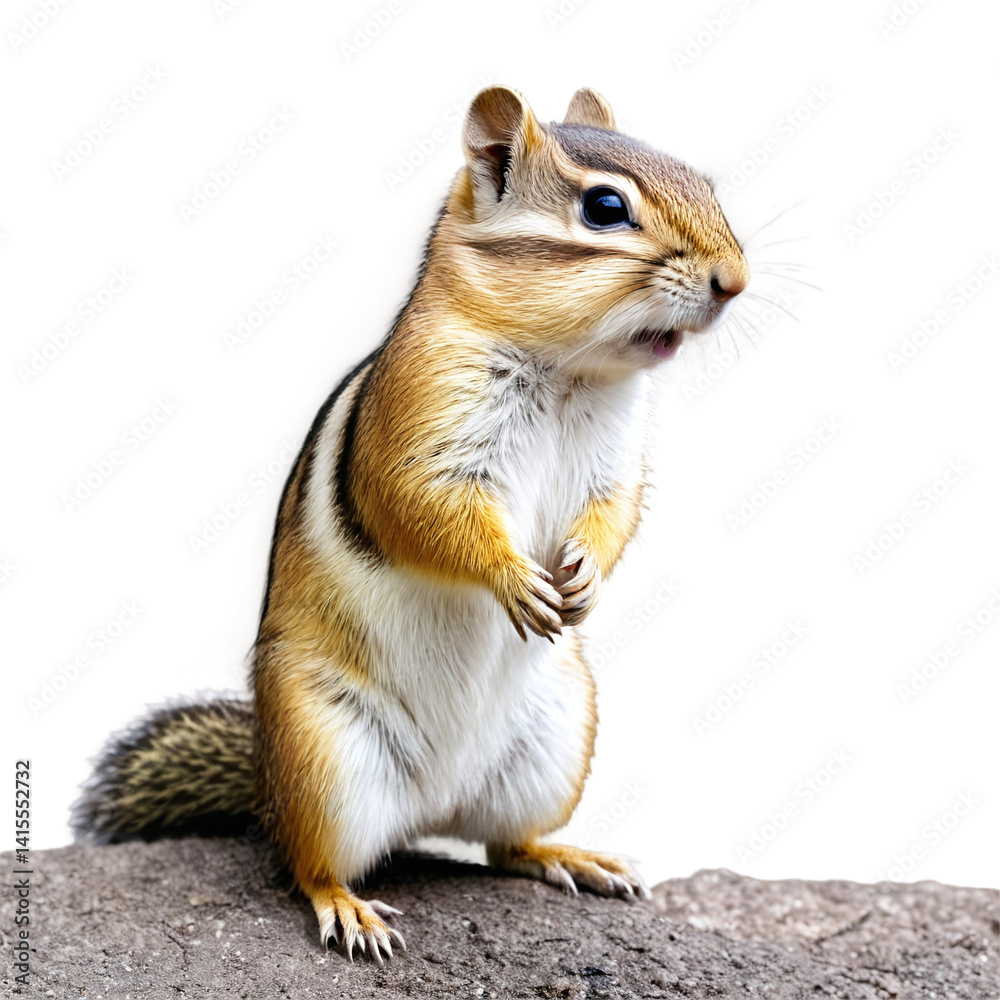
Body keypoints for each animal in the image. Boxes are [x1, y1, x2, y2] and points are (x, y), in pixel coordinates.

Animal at [72, 86, 749, 962]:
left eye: (706, 185)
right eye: (605, 208)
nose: (735, 280)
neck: (569, 372)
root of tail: (431, 806)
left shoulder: (617, 462)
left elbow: (615, 512)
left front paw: (586, 578)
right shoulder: (421, 428)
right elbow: (423, 510)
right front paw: (515, 579)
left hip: (558, 740)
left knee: (506, 845)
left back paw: (572, 857)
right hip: (323, 753)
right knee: (309, 861)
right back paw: (347, 909)